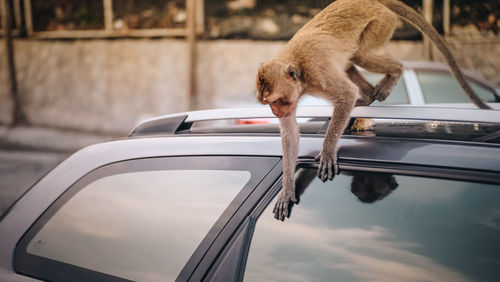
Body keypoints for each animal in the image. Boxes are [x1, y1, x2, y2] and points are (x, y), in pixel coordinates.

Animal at [258, 0, 492, 220]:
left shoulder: (318, 73)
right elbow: (290, 136)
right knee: (351, 59)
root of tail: (373, 2)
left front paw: (327, 150)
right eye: (269, 103)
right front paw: (287, 189)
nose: (276, 112)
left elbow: (346, 95)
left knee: (360, 53)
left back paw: (394, 73)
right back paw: (368, 96)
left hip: (381, 22)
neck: (300, 71)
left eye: (276, 101)